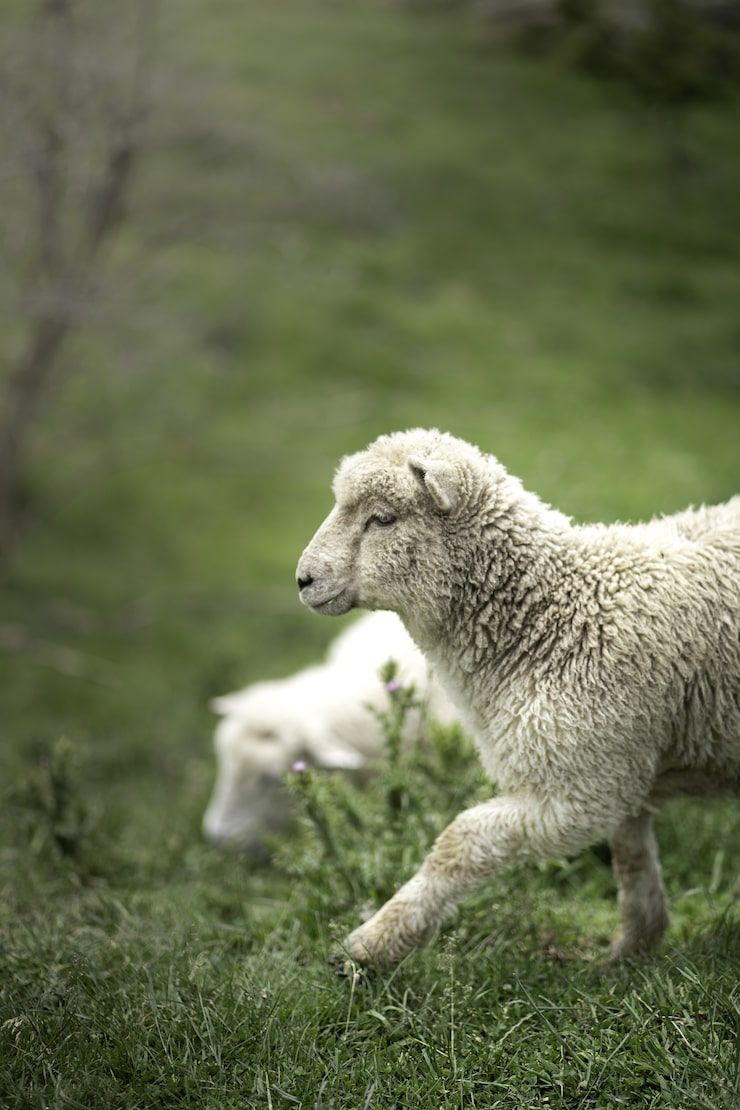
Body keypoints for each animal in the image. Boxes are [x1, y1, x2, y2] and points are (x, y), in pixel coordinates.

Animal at [296, 428, 740, 966]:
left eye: (383, 518)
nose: (303, 580)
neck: (553, 616)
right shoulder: (615, 766)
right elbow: (631, 857)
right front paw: (630, 950)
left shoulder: (580, 789)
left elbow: (460, 840)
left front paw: (372, 944)